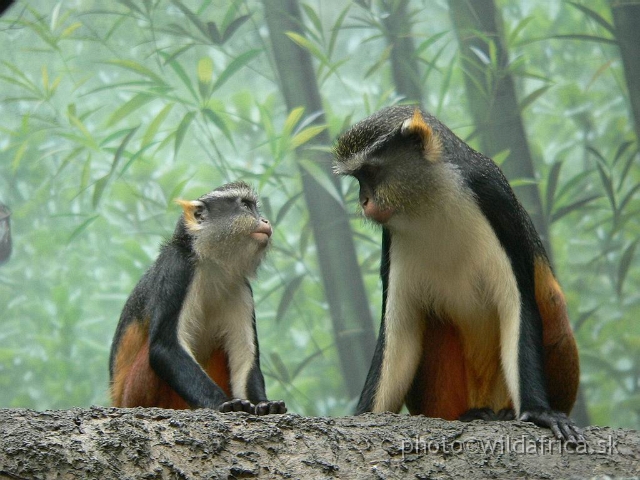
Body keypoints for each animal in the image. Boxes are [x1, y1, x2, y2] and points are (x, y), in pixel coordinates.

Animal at [109, 182, 284, 414]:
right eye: (246, 206)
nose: (265, 221)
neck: (211, 263)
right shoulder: (177, 268)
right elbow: (165, 347)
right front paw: (225, 403)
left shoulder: (241, 288)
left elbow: (245, 357)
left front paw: (264, 405)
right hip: (133, 394)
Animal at [336, 106, 584, 442]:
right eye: (358, 178)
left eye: (370, 173)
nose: (363, 201)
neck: (430, 200)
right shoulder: (392, 239)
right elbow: (400, 333)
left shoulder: (494, 196)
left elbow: (518, 303)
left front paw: (539, 412)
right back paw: (469, 416)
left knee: (553, 309)